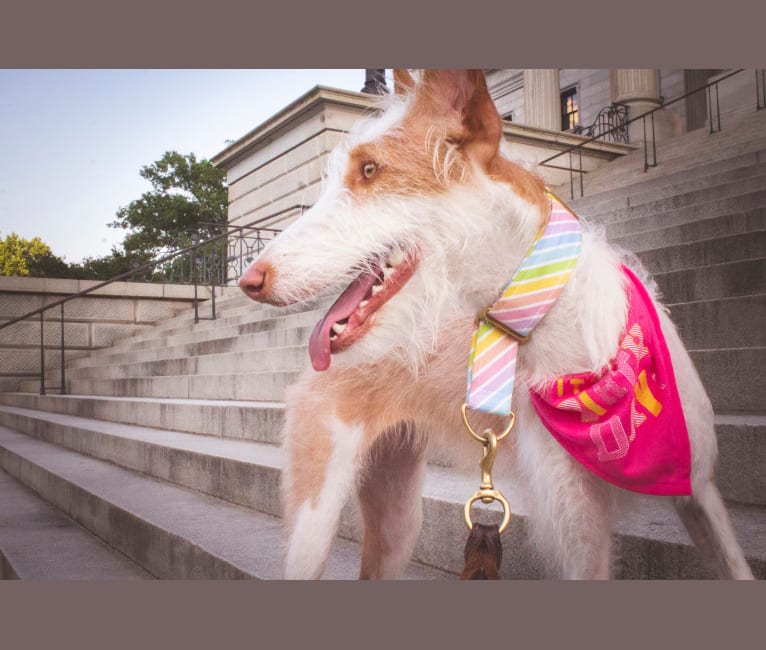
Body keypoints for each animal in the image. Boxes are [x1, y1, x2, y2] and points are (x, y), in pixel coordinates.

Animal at [240, 69, 756, 576]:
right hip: (317, 520)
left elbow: (735, 565)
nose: (248, 280)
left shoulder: (699, 490)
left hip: (396, 514)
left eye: (369, 170)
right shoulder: (580, 530)